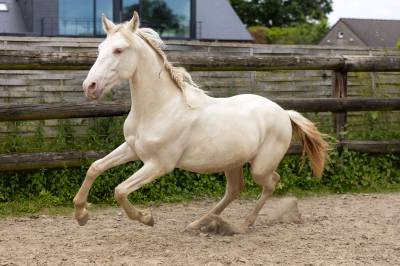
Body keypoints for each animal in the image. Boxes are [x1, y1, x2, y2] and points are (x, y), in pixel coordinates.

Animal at [72, 11, 328, 233]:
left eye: (118, 50)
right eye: (100, 48)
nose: (89, 87)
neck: (160, 108)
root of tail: (284, 112)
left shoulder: (159, 164)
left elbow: (120, 190)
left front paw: (146, 218)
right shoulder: (132, 148)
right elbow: (95, 167)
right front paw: (81, 215)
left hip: (260, 167)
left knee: (271, 183)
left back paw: (242, 225)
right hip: (232, 162)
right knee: (235, 190)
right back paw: (199, 223)